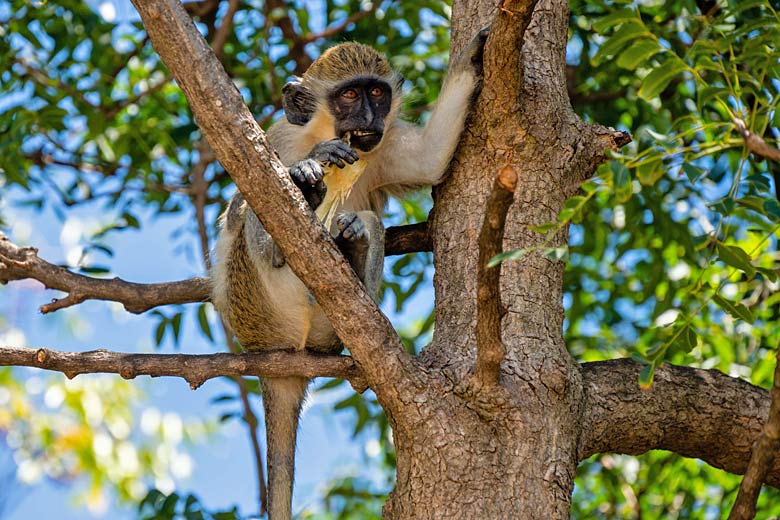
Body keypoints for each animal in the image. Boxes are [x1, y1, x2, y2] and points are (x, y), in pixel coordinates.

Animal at [210, 29, 484, 520]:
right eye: (349, 96)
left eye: (377, 93)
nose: (369, 116)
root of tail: (278, 355)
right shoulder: (277, 139)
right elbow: (242, 202)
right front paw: (310, 168)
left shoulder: (385, 144)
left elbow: (430, 159)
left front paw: (472, 58)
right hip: (255, 307)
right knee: (254, 218)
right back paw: (301, 204)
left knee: (366, 222)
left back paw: (354, 246)